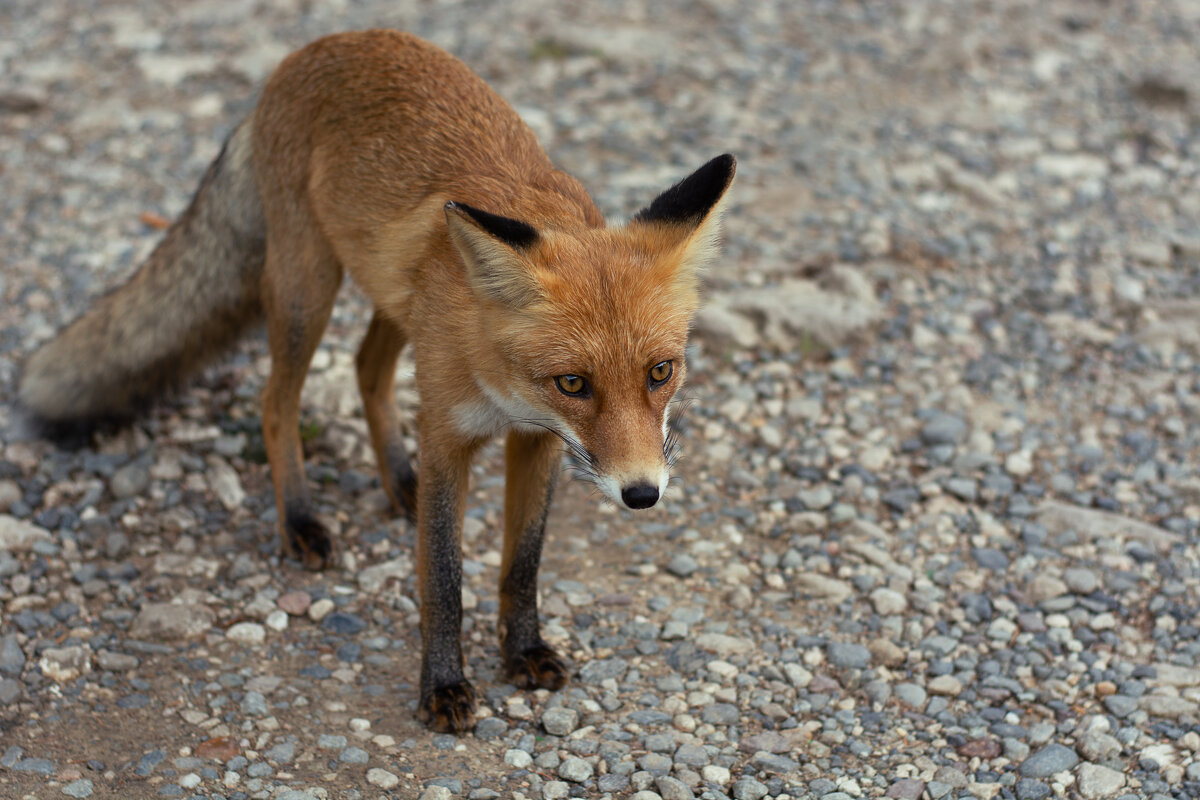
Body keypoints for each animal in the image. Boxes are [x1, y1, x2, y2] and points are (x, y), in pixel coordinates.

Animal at [16, 29, 729, 734]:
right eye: (574, 384)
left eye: (660, 372)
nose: (642, 494)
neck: (504, 387)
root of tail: (314, 49)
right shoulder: (448, 435)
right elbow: (443, 580)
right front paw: (442, 685)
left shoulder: (537, 442)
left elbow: (522, 563)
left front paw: (524, 651)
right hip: (307, 292)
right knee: (276, 402)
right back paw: (301, 518)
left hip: (390, 297)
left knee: (366, 369)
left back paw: (397, 481)